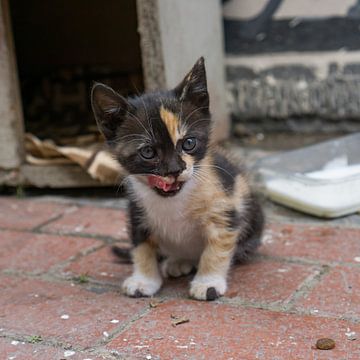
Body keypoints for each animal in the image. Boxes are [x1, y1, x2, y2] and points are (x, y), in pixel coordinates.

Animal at [91, 57, 262, 300]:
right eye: (148, 152)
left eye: (189, 143)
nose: (174, 170)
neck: (173, 200)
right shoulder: (137, 213)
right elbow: (141, 248)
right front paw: (144, 280)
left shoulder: (226, 208)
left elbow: (217, 249)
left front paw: (208, 282)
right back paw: (178, 261)